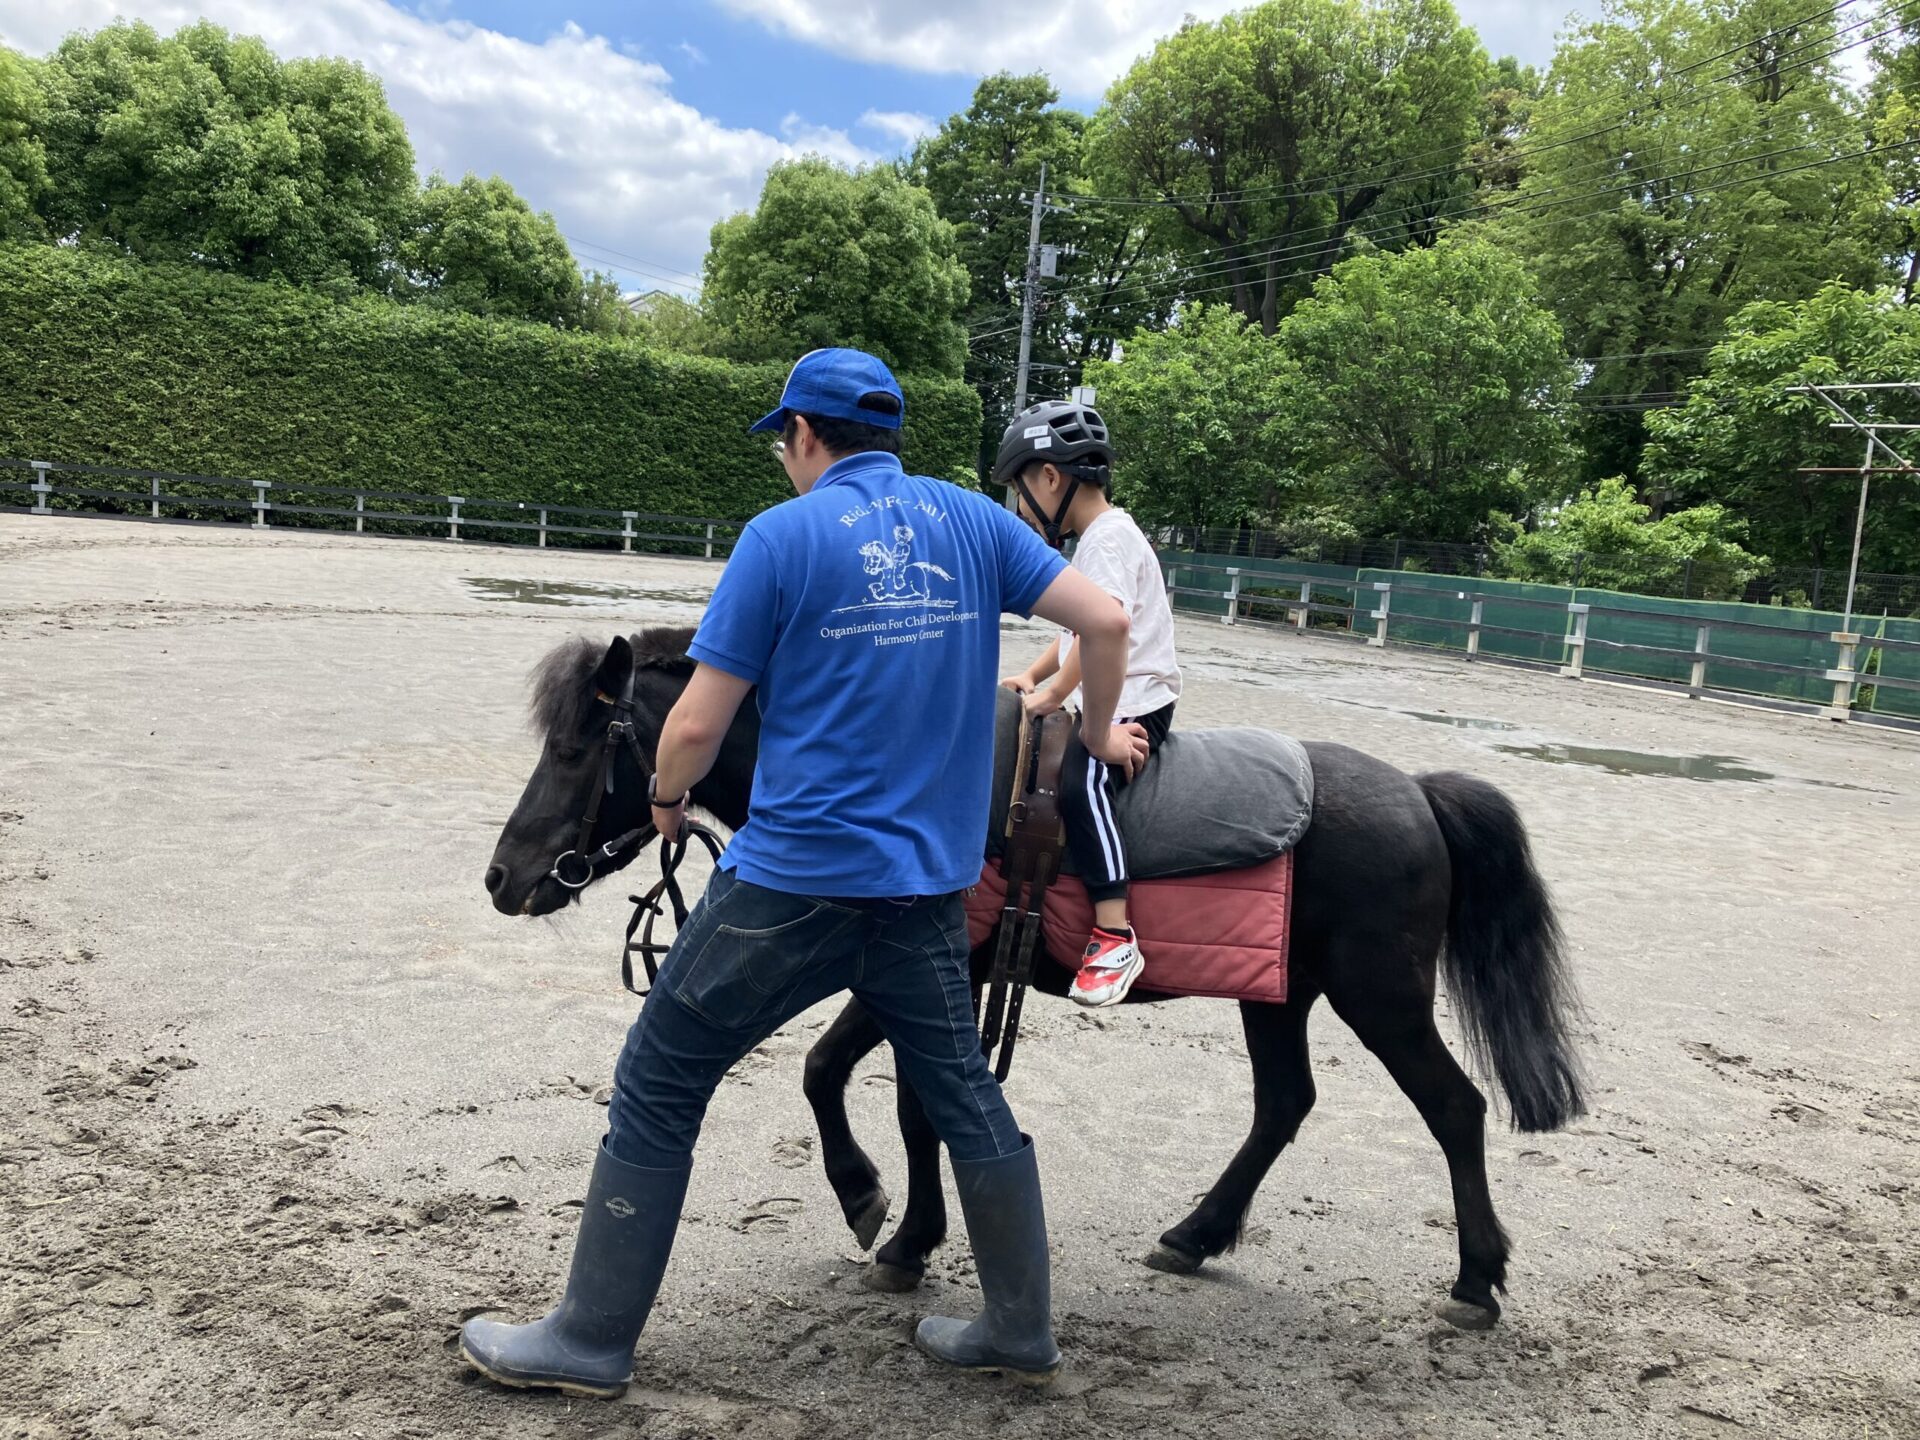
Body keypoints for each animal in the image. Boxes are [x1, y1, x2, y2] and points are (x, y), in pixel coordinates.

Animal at [487, 629, 1582, 1328]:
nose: (504, 877)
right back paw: (1196, 1234)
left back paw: (1476, 1279)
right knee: (1284, 1106)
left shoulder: (935, 969)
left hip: (1380, 998)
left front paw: (896, 1227)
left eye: (579, 745)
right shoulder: (903, 970)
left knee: (1453, 1108)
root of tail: (1419, 793)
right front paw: (884, 1214)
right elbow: (837, 1077)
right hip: (1279, 995)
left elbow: (899, 1101)